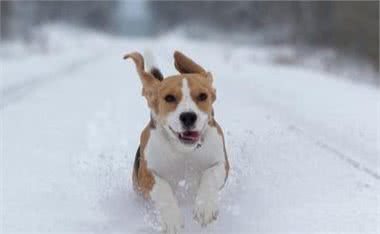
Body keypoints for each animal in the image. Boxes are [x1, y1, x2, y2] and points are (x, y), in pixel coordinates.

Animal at [123, 51, 229, 234]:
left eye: (203, 96)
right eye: (169, 98)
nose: (188, 117)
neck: (183, 150)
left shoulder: (222, 163)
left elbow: (210, 176)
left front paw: (205, 207)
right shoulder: (146, 175)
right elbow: (163, 188)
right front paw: (172, 220)